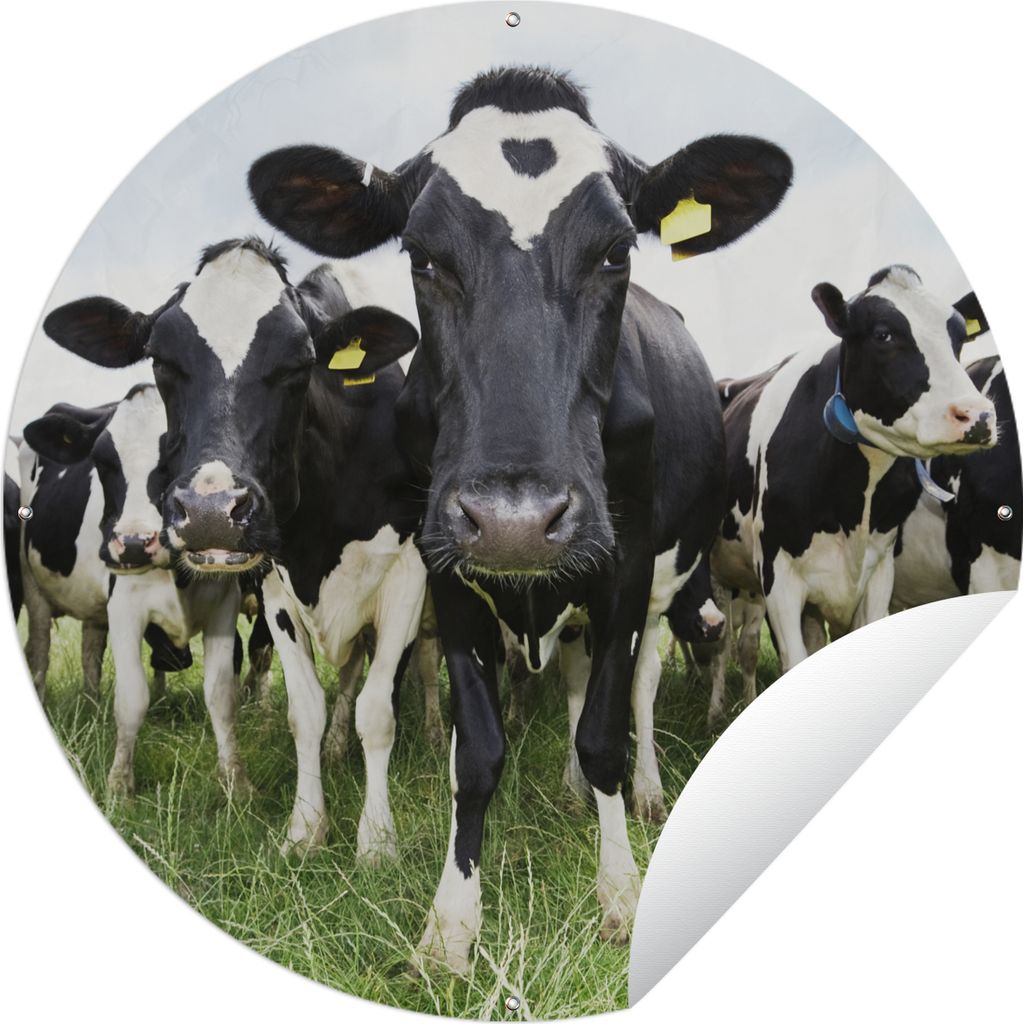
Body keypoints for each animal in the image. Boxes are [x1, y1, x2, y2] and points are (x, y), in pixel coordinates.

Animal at [22, 384, 258, 796]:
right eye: (102, 461)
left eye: (176, 451)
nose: (133, 543)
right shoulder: (125, 608)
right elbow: (132, 699)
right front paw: (120, 786)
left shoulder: (223, 605)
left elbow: (221, 695)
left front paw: (236, 781)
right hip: (32, 584)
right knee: (39, 652)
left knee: (90, 651)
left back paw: (92, 706)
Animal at [247, 65, 794, 970]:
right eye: (422, 255)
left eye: (616, 250)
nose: (515, 521)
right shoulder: (444, 567)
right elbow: (476, 750)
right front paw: (450, 926)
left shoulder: (624, 564)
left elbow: (604, 732)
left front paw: (620, 894)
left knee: (635, 690)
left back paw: (638, 793)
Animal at [707, 267, 997, 695]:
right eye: (883, 334)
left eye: (959, 336)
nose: (977, 415)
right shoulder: (778, 575)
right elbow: (793, 661)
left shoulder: (878, 573)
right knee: (722, 646)